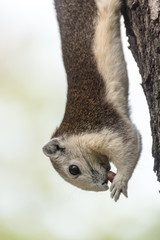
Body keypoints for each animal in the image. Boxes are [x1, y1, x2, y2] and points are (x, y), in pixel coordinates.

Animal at [42, 0, 141, 202]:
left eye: (73, 169)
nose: (103, 184)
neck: (76, 134)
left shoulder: (106, 127)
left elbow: (129, 143)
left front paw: (119, 181)